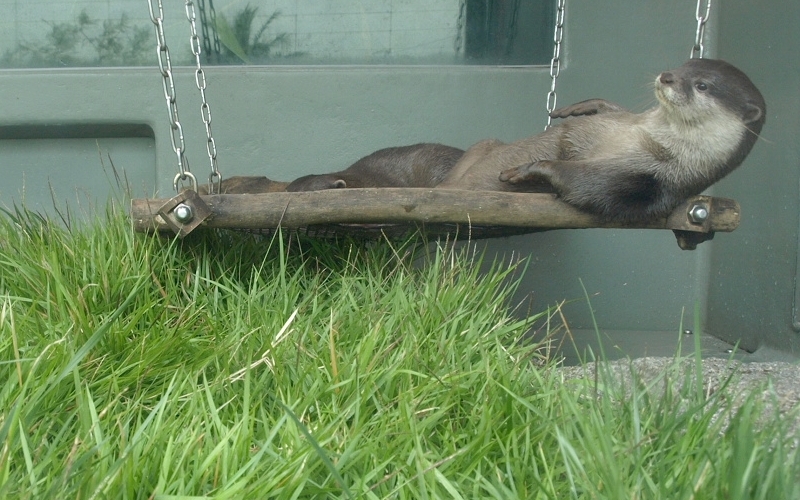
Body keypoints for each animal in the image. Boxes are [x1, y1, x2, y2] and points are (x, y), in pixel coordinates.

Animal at [438, 57, 768, 222]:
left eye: (702, 85)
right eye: (682, 66)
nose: (667, 76)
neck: (646, 137)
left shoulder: (646, 180)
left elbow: (584, 187)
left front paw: (529, 169)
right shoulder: (629, 122)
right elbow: (610, 110)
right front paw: (582, 106)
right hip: (483, 144)